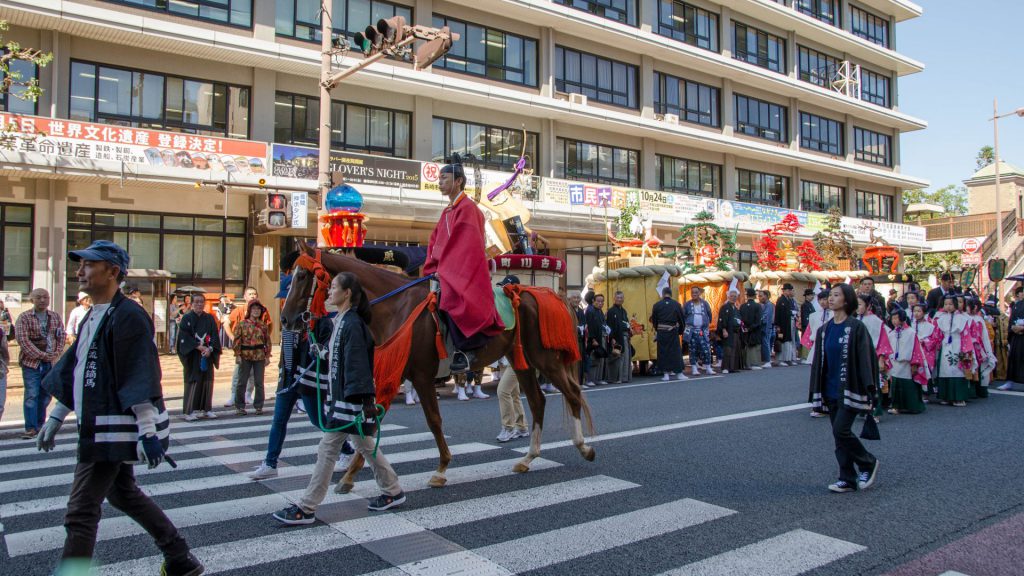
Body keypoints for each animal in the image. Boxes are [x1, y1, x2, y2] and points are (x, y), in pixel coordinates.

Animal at [280, 241, 598, 487]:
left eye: (303, 275)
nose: (286, 319)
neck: (396, 306)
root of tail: (550, 295)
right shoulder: (395, 372)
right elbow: (374, 419)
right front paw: (350, 476)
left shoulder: (420, 374)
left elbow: (433, 420)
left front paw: (441, 467)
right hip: (521, 359)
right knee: (536, 400)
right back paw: (528, 457)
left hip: (546, 358)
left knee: (571, 393)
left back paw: (583, 447)